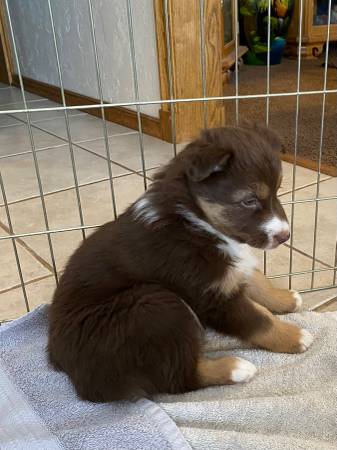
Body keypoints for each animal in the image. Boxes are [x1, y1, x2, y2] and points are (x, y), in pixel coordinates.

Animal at [47, 125, 312, 402]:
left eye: (278, 191)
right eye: (249, 200)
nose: (285, 236)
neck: (194, 220)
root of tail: (67, 369)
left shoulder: (225, 273)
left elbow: (257, 280)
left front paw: (284, 298)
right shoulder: (210, 295)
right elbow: (259, 319)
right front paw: (295, 336)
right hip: (156, 304)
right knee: (178, 379)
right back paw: (236, 367)